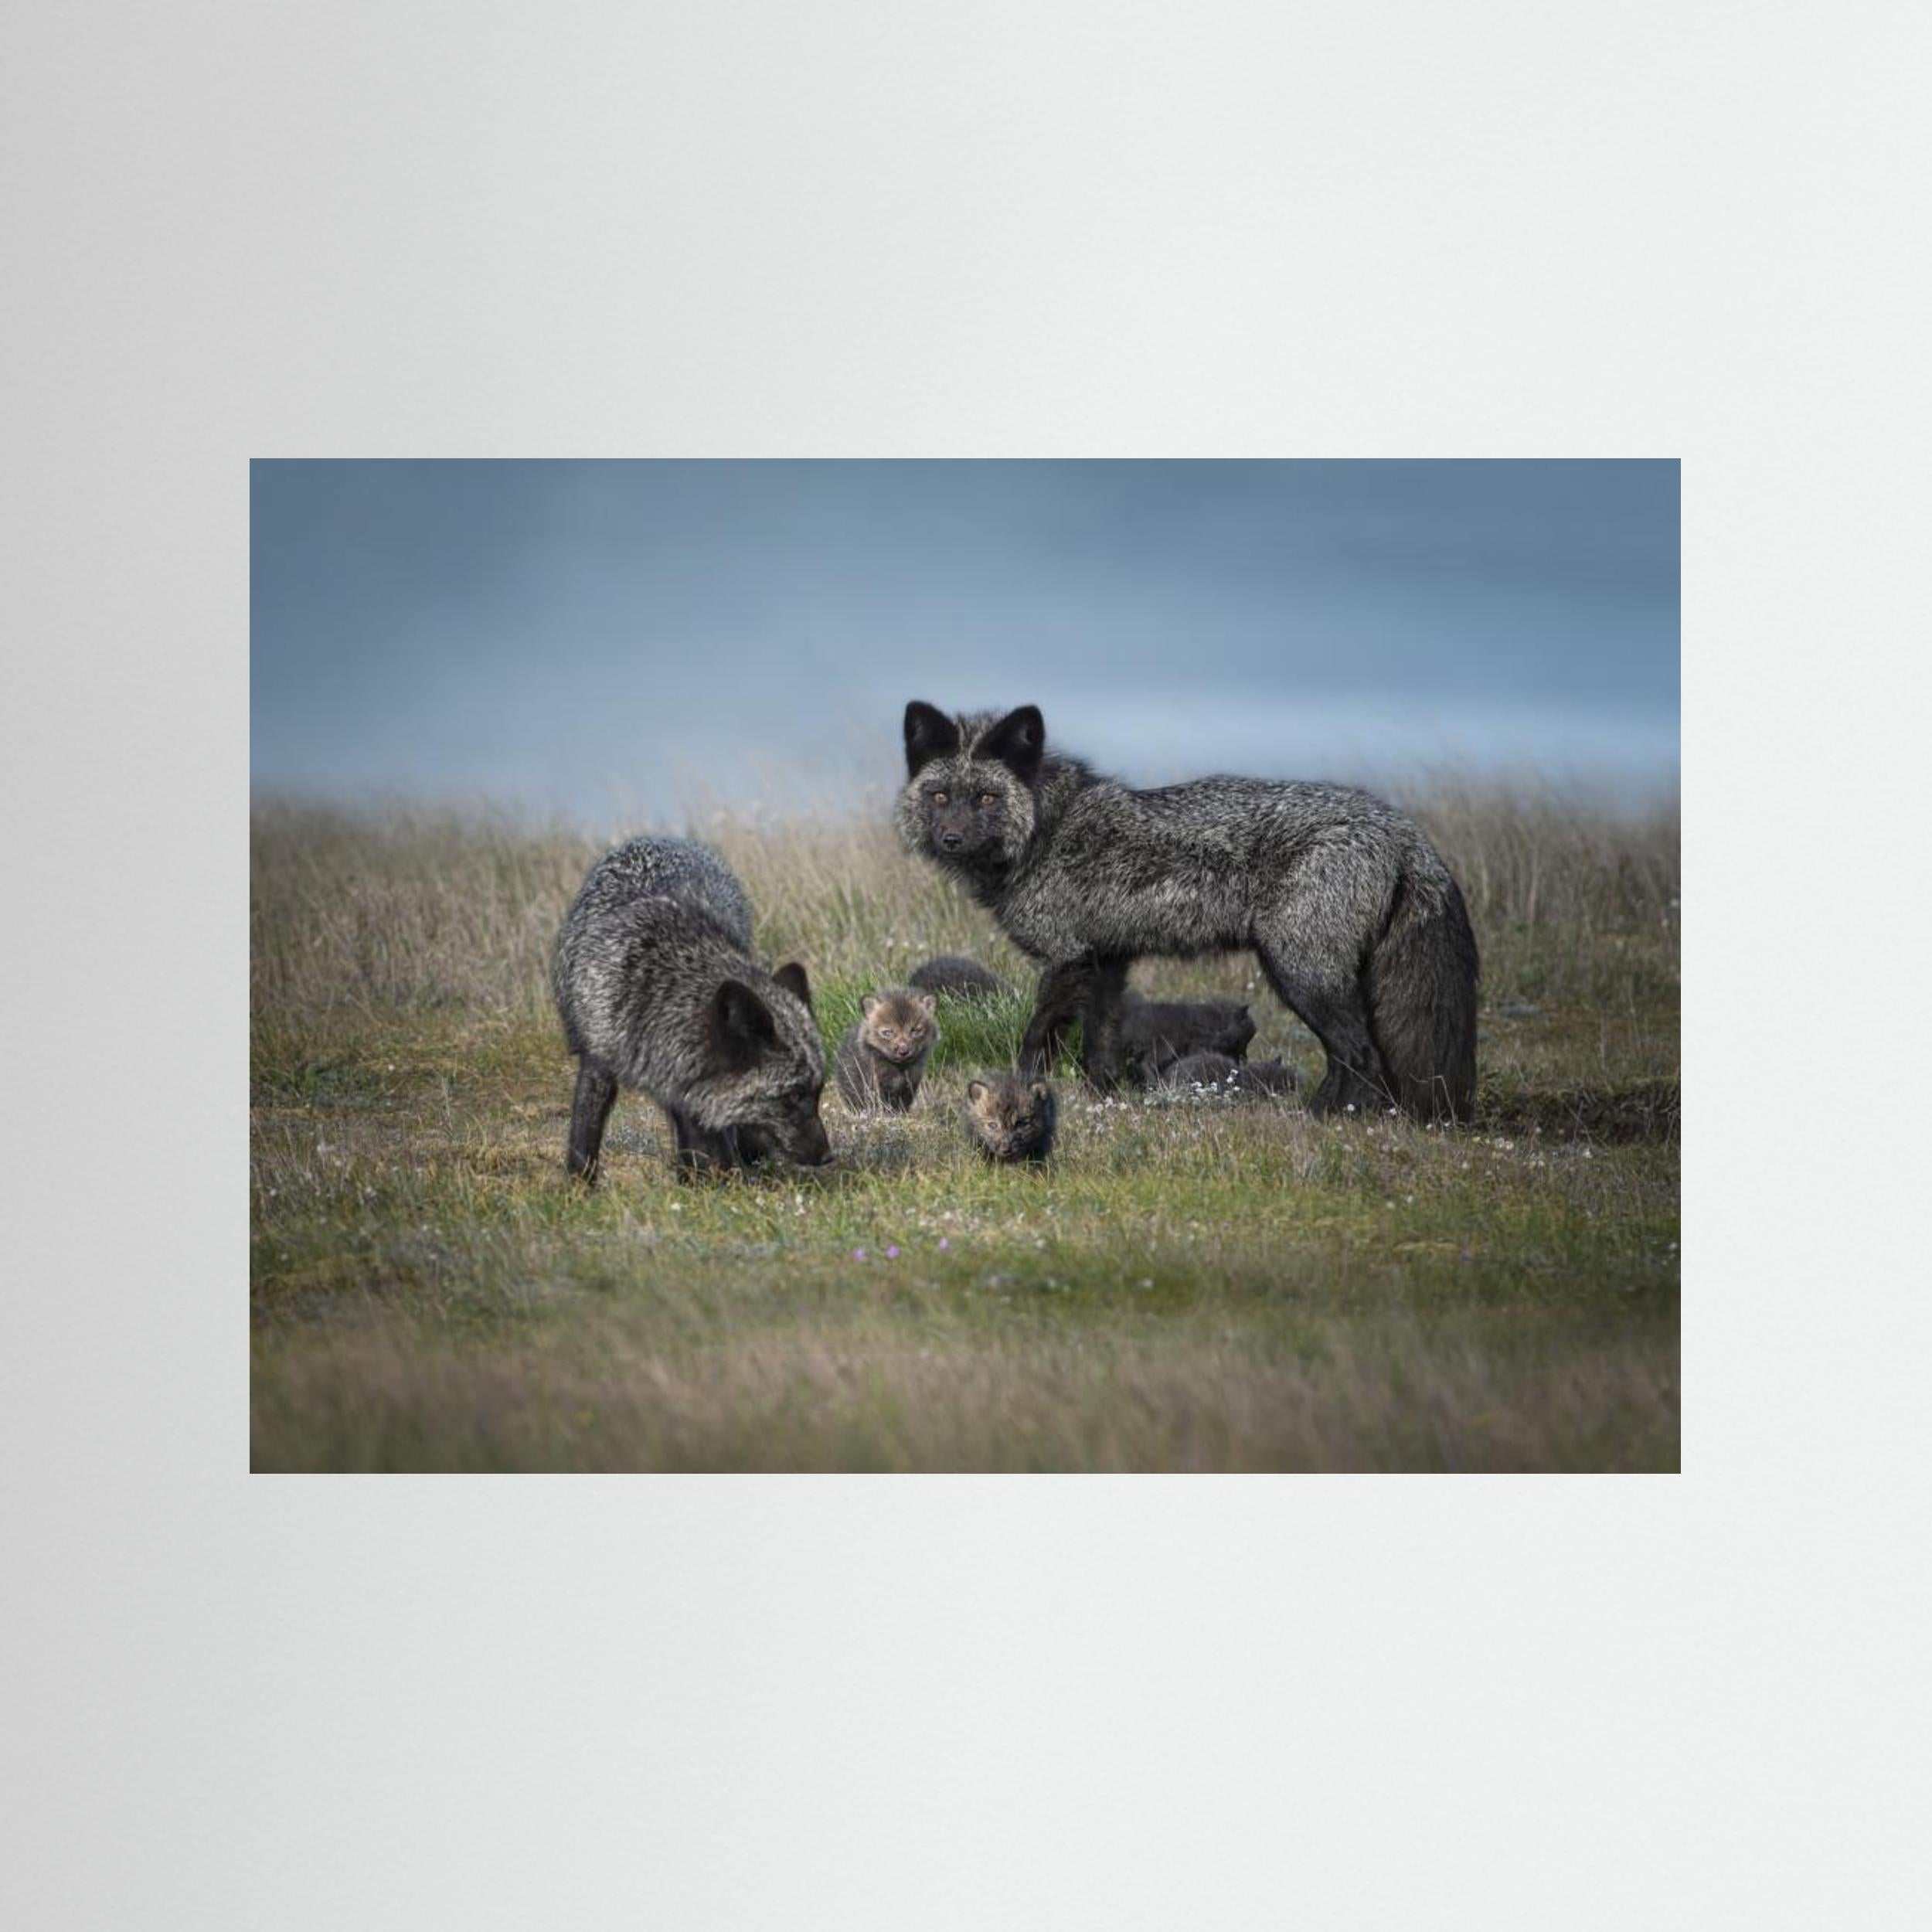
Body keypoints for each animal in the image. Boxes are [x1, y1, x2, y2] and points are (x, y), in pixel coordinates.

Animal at [552, 836, 831, 1179]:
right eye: (792, 1096)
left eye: (819, 1091)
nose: (828, 1156)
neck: (653, 984)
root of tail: (656, 838)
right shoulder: (598, 1061)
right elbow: (584, 1134)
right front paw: (580, 1185)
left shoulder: (687, 1083)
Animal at [834, 988, 939, 1111]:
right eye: (888, 1032)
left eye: (915, 1031)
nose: (904, 1051)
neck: (900, 1069)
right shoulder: (873, 1085)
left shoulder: (910, 1084)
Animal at [897, 701, 1479, 1122]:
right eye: (941, 796)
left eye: (987, 799)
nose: (950, 839)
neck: (1046, 830)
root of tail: (1401, 828)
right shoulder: (1106, 961)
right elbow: (1100, 1042)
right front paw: (1103, 1099)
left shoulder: (1068, 958)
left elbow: (1038, 1035)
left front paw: (1021, 1092)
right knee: (1353, 1055)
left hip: (1300, 974)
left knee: (1360, 1054)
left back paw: (1324, 1119)